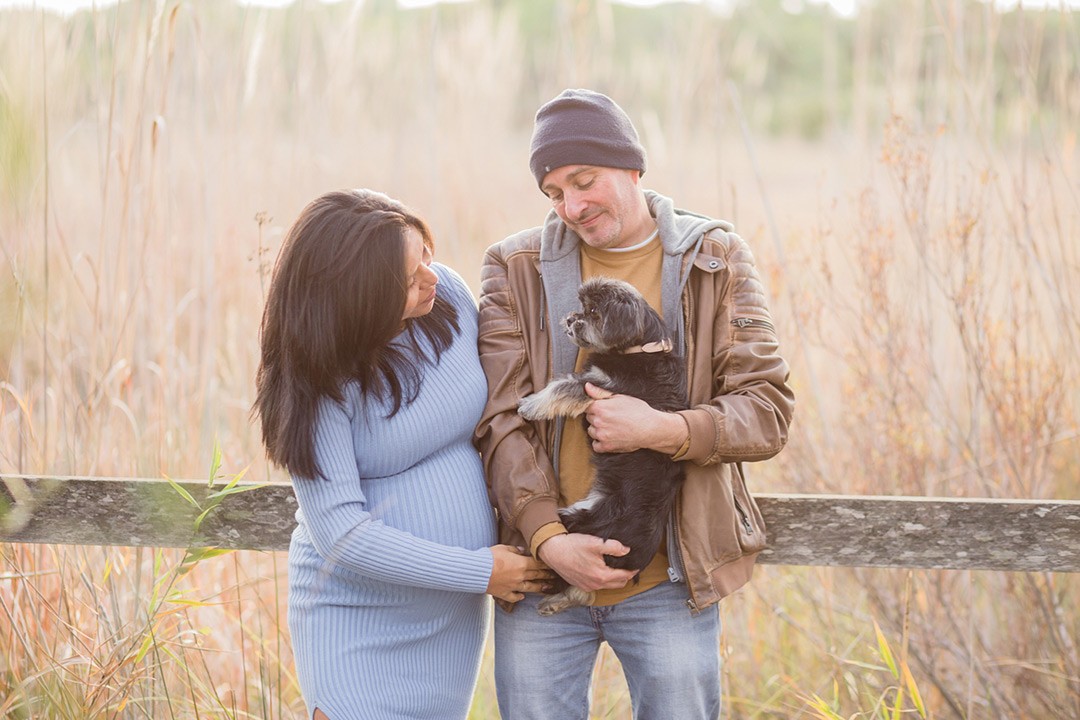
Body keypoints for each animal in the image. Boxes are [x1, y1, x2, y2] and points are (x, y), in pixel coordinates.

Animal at [518, 278, 686, 617]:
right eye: (583, 307)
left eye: (594, 313)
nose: (572, 319)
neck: (638, 350)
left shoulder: (599, 385)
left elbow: (561, 386)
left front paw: (531, 405)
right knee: (583, 591)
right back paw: (556, 602)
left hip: (579, 521)